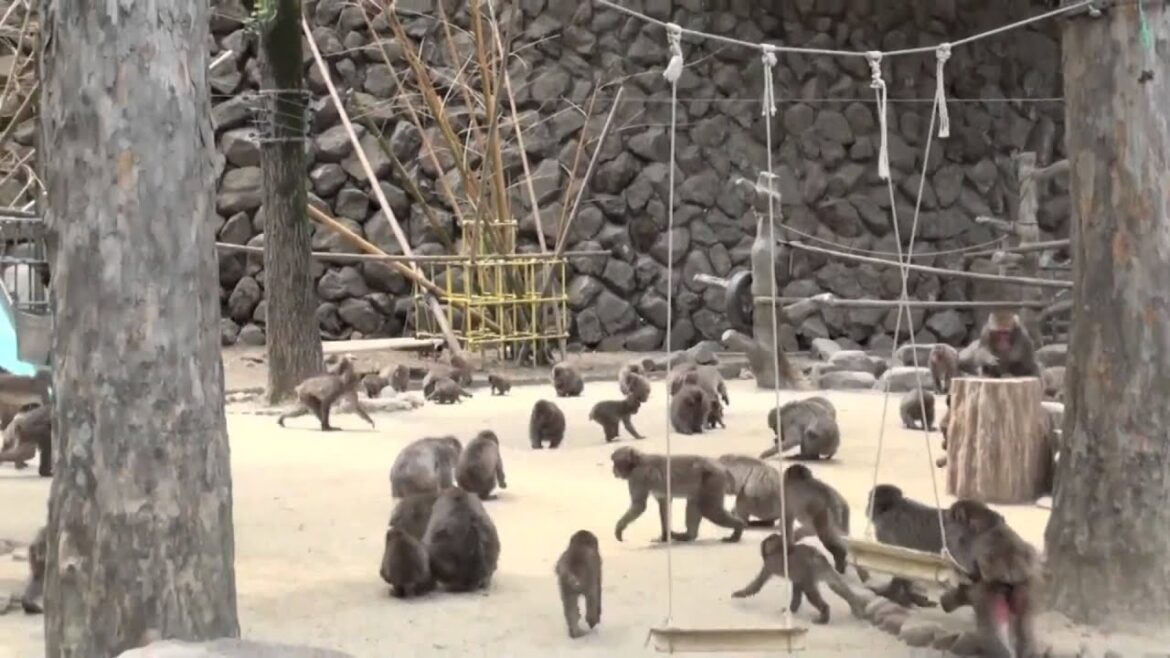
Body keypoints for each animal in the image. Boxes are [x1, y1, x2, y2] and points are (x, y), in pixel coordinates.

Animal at [610, 446, 745, 543]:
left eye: (615, 462)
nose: (613, 470)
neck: (638, 462)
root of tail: (722, 467)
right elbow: (664, 503)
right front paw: (664, 536)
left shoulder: (637, 476)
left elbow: (639, 506)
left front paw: (619, 528)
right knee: (694, 502)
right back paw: (688, 535)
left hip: (713, 479)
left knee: (709, 509)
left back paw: (738, 528)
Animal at [732, 533, 867, 625]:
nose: (763, 548)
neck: (781, 548)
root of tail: (818, 557)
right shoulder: (797, 574)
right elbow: (796, 589)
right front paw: (791, 609)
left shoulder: (770, 563)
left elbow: (757, 585)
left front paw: (740, 593)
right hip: (818, 570)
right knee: (836, 586)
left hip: (810, 572)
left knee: (811, 593)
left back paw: (824, 614)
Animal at [940, 499, 1040, 658]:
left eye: (950, 516)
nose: (944, 518)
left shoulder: (961, 539)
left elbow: (968, 570)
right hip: (1024, 589)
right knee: (1026, 630)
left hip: (992, 591)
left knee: (990, 633)